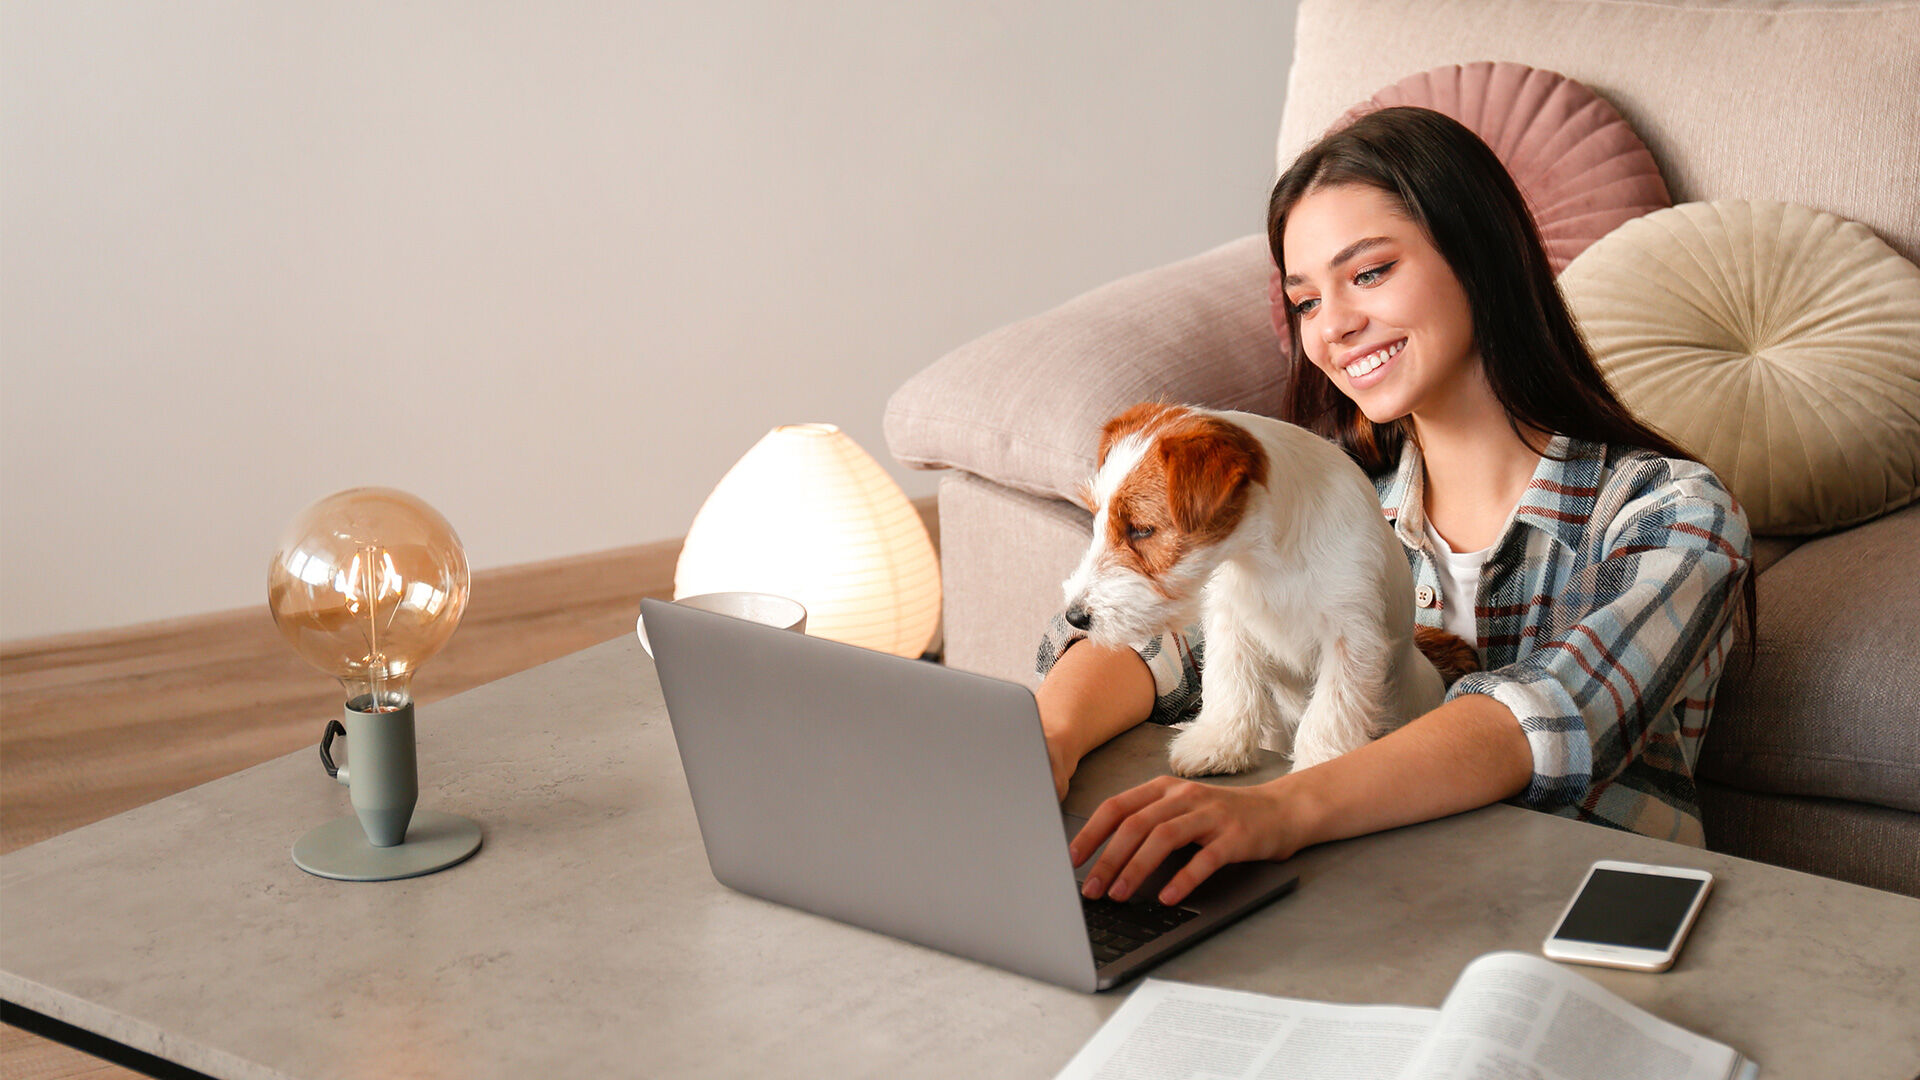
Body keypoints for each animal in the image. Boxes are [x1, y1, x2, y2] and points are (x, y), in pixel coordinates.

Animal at [1059, 399, 1474, 768]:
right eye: (1097, 519)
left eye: (1142, 529)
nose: (1074, 617)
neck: (1265, 559)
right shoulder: (1229, 619)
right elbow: (1229, 683)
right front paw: (1217, 743)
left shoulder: (1351, 637)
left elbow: (1332, 708)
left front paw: (1318, 764)